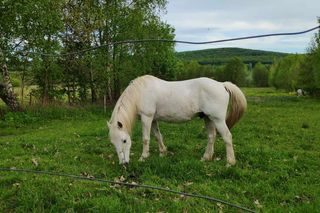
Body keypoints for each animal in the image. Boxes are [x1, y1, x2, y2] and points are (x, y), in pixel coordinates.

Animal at [107, 75, 248, 166]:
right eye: (112, 143)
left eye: (124, 140)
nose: (123, 163)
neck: (140, 92)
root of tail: (222, 84)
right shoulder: (153, 120)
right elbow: (157, 135)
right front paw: (162, 153)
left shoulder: (147, 117)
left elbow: (146, 138)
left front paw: (143, 157)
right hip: (208, 118)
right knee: (211, 136)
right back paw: (206, 158)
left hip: (218, 119)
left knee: (227, 137)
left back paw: (230, 163)